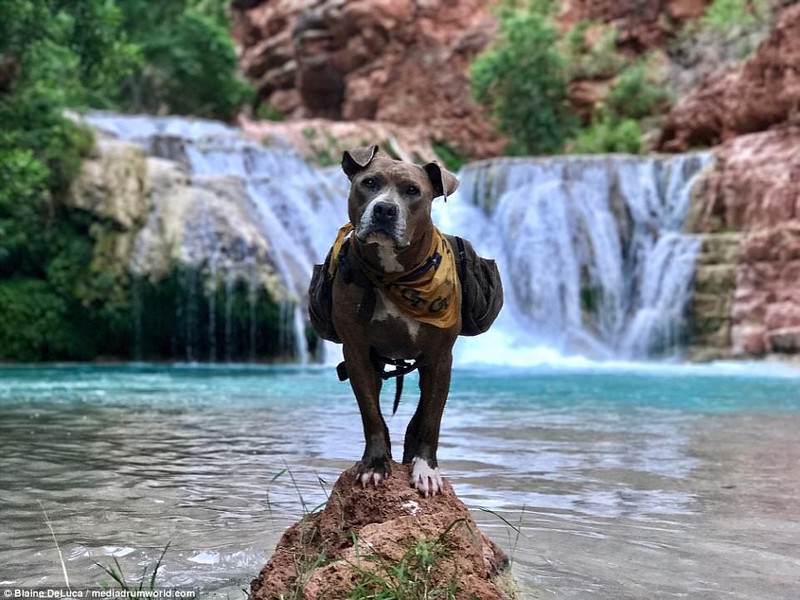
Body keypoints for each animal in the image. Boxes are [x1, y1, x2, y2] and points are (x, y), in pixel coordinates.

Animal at [328, 146, 460, 496]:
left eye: (413, 191)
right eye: (369, 183)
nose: (385, 209)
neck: (395, 276)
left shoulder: (440, 358)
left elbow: (430, 419)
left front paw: (426, 469)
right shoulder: (357, 353)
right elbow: (371, 414)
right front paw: (375, 464)